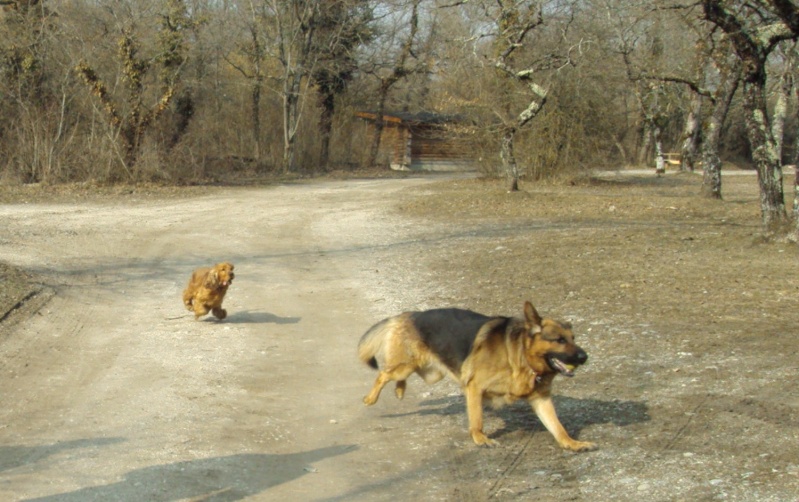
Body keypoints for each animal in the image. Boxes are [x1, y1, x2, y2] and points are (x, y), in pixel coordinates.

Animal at [360, 302, 596, 452]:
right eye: (559, 340)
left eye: (573, 338)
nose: (585, 357)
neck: (520, 356)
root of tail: (409, 314)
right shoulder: (474, 388)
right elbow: (477, 419)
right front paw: (480, 439)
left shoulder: (542, 400)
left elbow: (557, 426)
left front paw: (572, 443)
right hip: (405, 366)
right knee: (383, 374)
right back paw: (371, 398)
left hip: (430, 372)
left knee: (398, 377)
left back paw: (400, 390)